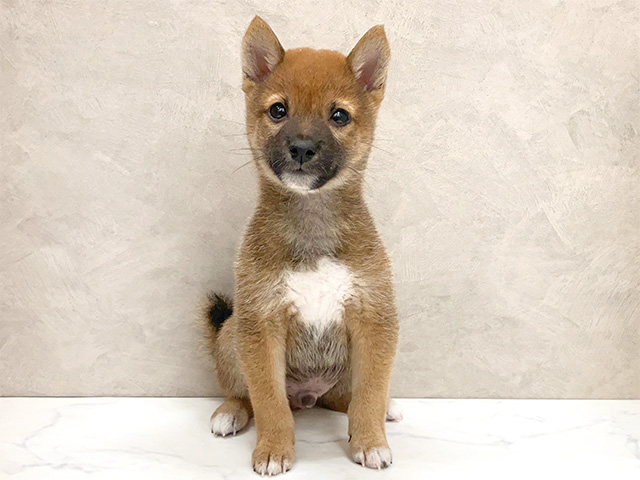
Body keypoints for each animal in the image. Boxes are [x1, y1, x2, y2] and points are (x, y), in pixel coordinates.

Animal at [205, 15, 398, 476]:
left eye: (339, 115)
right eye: (279, 110)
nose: (302, 148)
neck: (313, 223)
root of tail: (309, 395)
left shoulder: (374, 320)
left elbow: (369, 395)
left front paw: (370, 442)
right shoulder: (260, 325)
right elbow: (270, 403)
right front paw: (274, 449)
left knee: (346, 398)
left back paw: (386, 409)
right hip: (231, 333)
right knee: (244, 394)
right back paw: (229, 412)